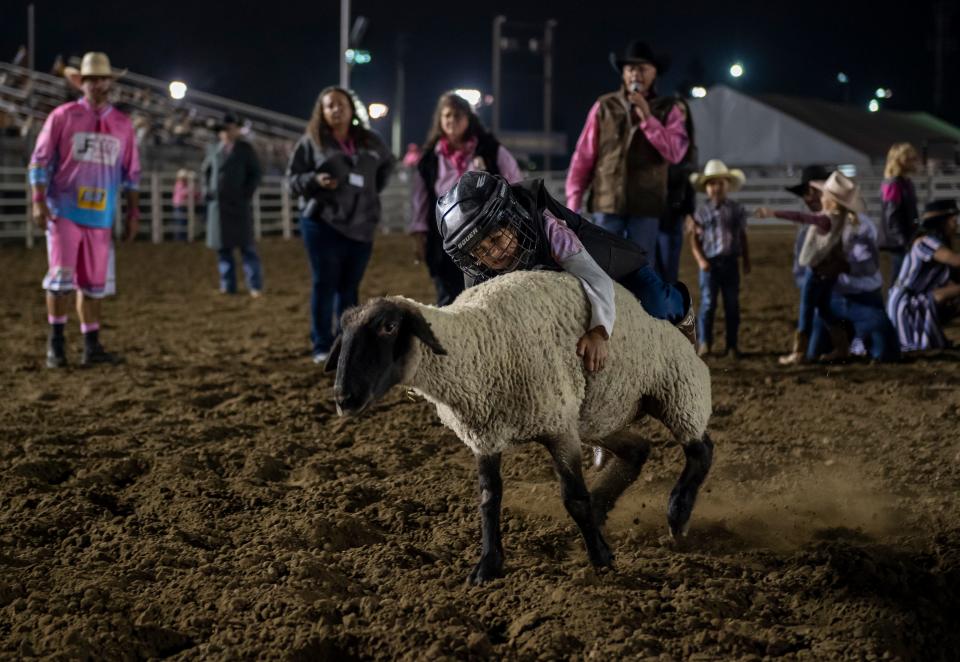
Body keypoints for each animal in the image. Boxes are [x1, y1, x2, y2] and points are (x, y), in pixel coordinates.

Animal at [330, 270, 712, 588]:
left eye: (389, 327)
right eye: (343, 333)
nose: (343, 398)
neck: (479, 343)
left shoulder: (558, 427)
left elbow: (574, 499)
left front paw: (601, 558)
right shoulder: (484, 435)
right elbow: (489, 499)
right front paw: (488, 565)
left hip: (674, 388)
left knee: (700, 448)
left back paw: (677, 514)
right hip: (597, 413)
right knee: (637, 449)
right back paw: (605, 506)